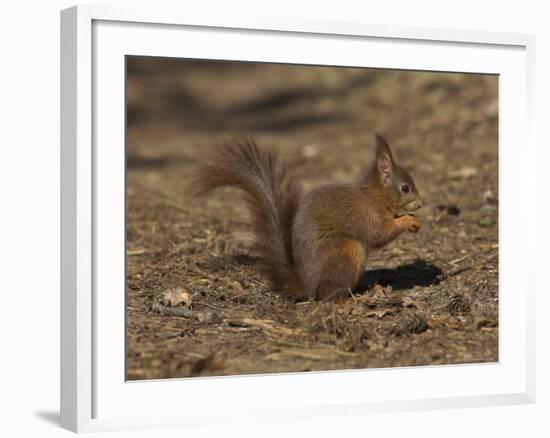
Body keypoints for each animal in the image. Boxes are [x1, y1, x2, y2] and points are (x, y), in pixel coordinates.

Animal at [188, 134, 424, 302]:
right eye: (405, 188)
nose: (422, 203)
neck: (376, 195)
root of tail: (307, 285)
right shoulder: (367, 214)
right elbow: (379, 234)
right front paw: (408, 221)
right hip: (346, 252)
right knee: (328, 296)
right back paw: (349, 300)